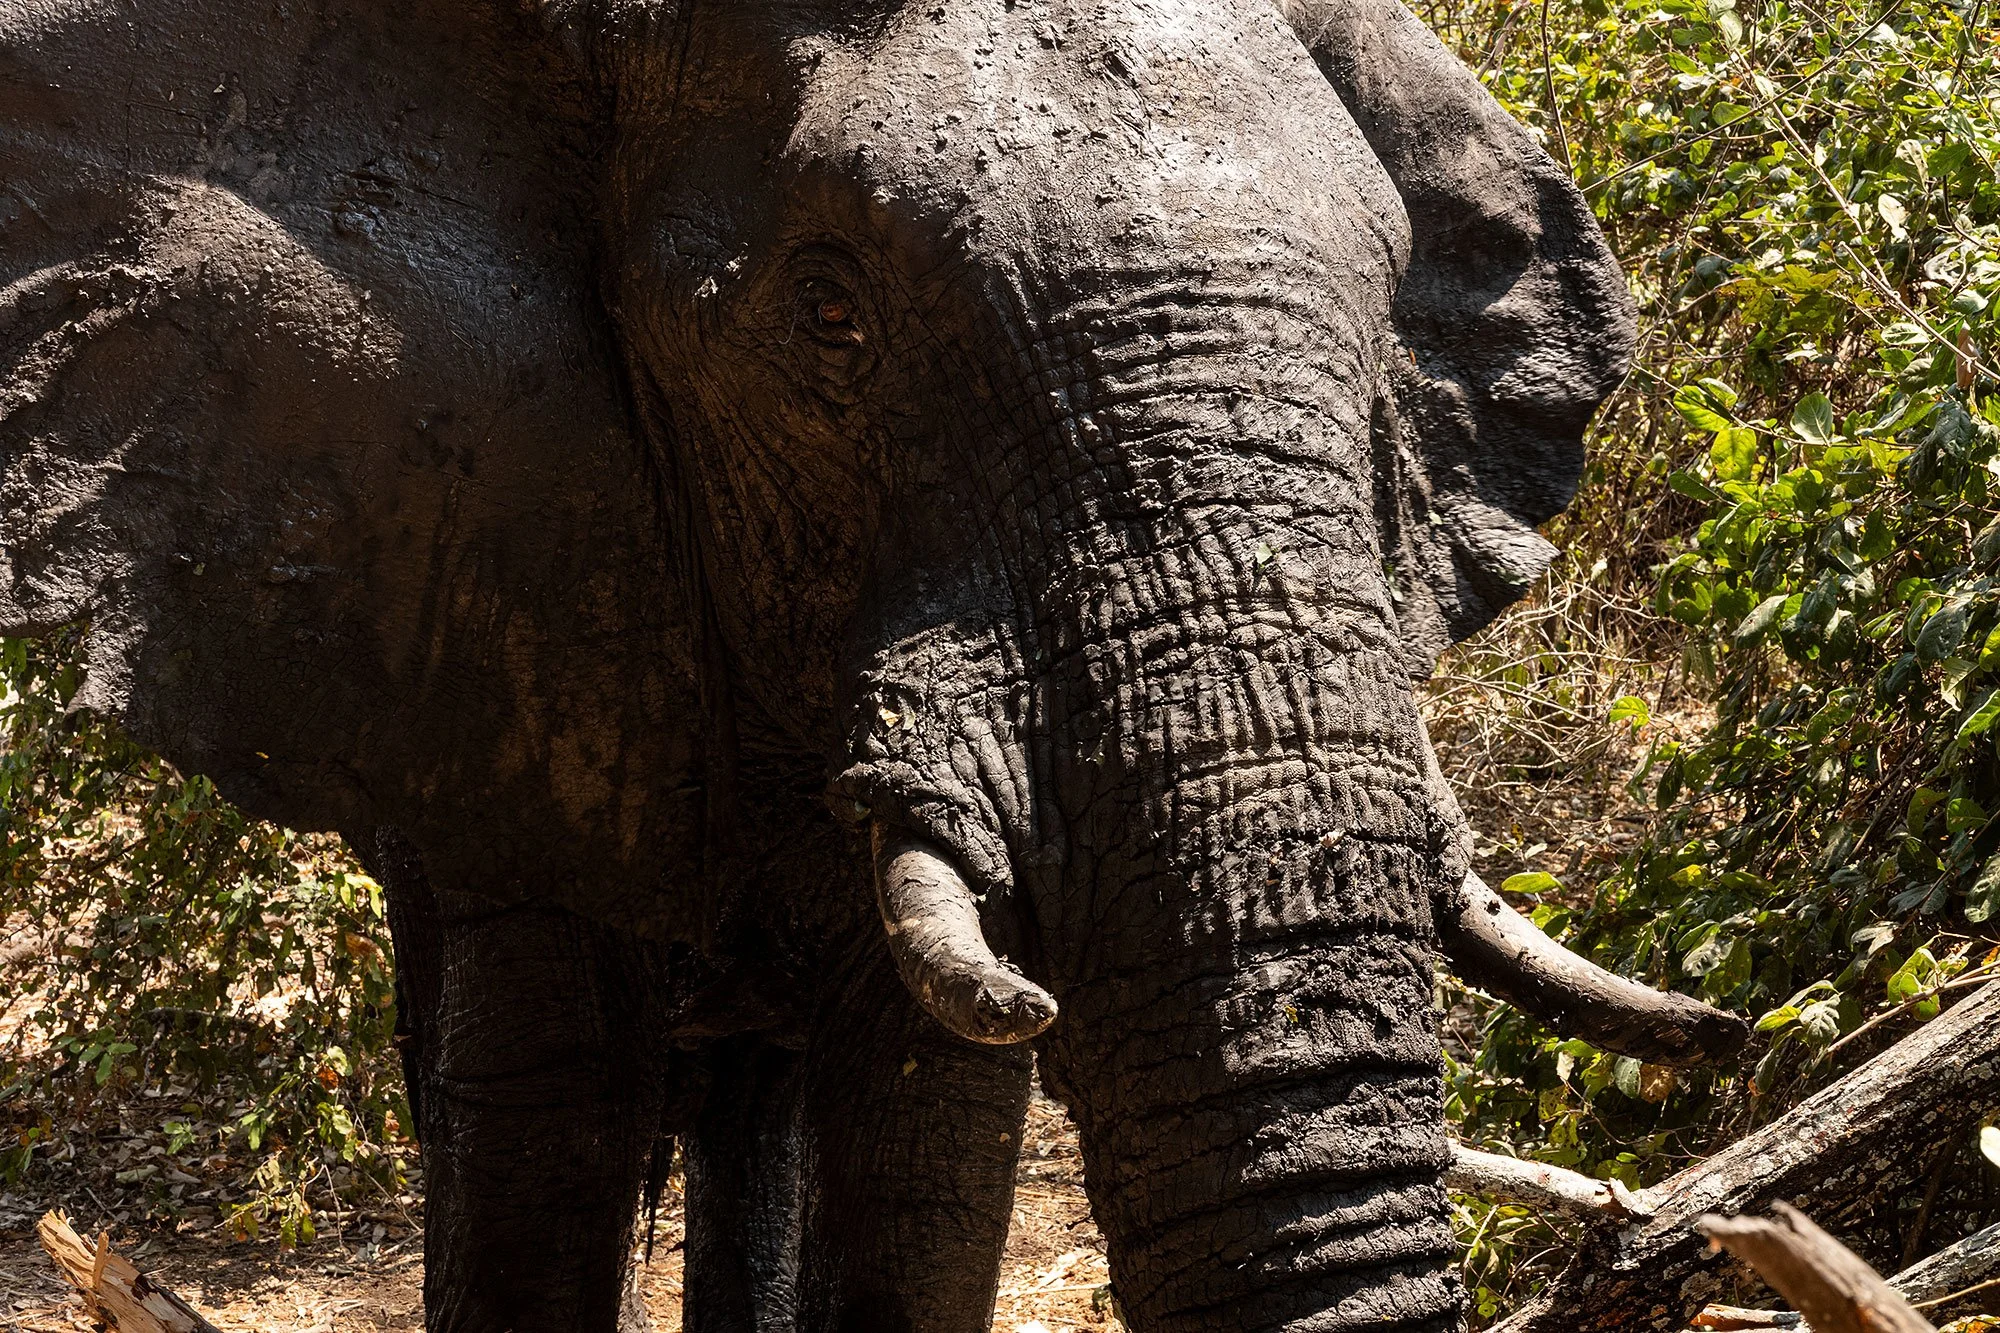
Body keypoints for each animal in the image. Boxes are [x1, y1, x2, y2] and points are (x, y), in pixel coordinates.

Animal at [0, 1, 1748, 1329]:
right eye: (826, 318)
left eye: (1386, 321)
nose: (1731, 1034)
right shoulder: (482, 577)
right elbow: (542, 1115)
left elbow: (924, 1132)